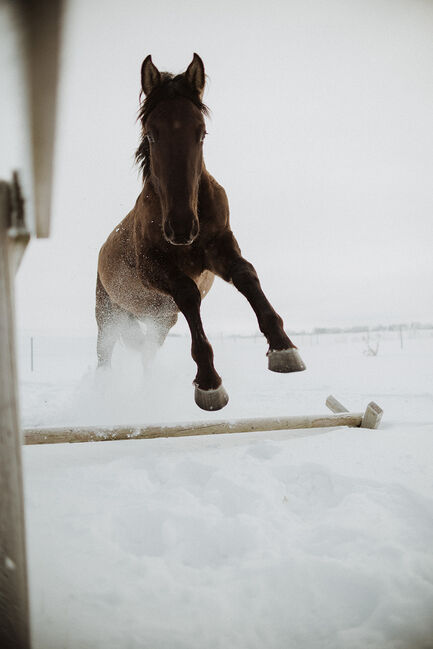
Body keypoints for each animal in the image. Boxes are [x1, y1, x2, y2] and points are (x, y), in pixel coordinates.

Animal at [95, 55, 304, 410]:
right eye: (152, 134)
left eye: (201, 132)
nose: (181, 227)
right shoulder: (152, 268)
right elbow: (188, 293)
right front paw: (209, 383)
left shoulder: (220, 249)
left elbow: (246, 274)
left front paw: (283, 348)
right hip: (107, 316)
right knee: (105, 355)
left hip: (161, 320)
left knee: (147, 352)